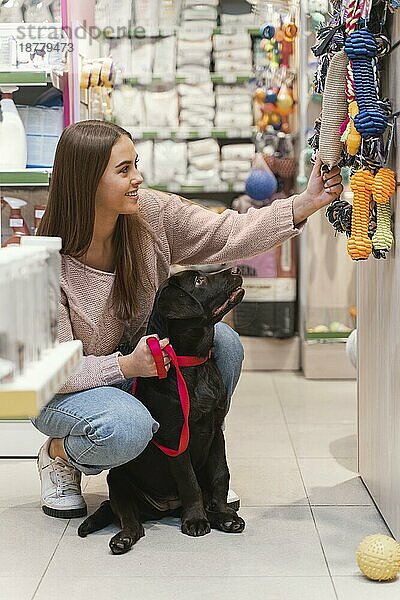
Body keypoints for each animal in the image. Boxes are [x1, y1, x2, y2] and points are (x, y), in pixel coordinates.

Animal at [77, 268, 245, 552]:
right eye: (199, 280)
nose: (236, 269)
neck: (192, 364)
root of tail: (164, 509)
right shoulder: (176, 439)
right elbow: (189, 481)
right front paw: (196, 521)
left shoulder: (216, 430)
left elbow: (221, 474)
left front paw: (224, 514)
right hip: (118, 480)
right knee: (129, 519)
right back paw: (124, 538)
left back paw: (217, 515)